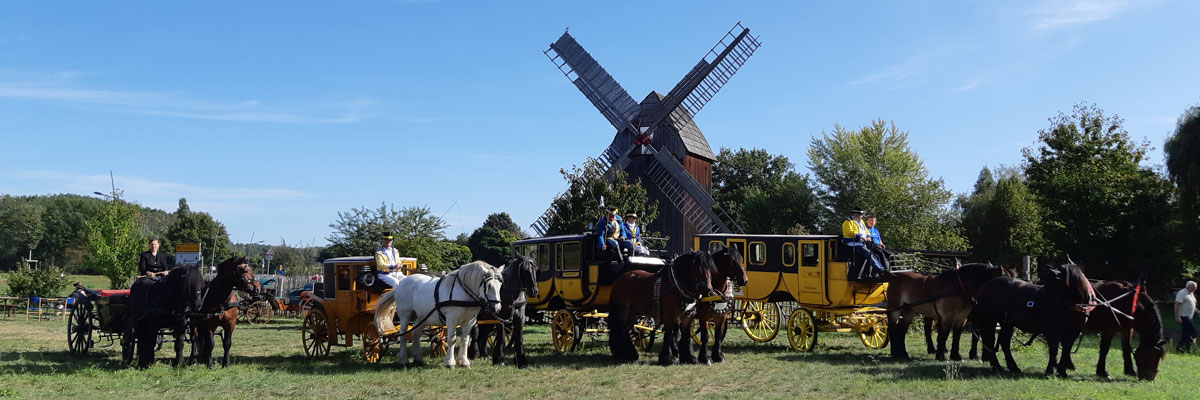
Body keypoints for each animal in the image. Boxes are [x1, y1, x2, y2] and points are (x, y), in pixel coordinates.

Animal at [883, 263, 1012, 360]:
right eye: (1004, 283)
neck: (959, 288)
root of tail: (895, 277)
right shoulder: (946, 317)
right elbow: (944, 335)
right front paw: (941, 356)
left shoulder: (961, 318)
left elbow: (956, 336)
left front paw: (956, 356)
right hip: (895, 309)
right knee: (893, 328)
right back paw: (895, 352)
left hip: (909, 311)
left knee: (902, 330)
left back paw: (903, 353)